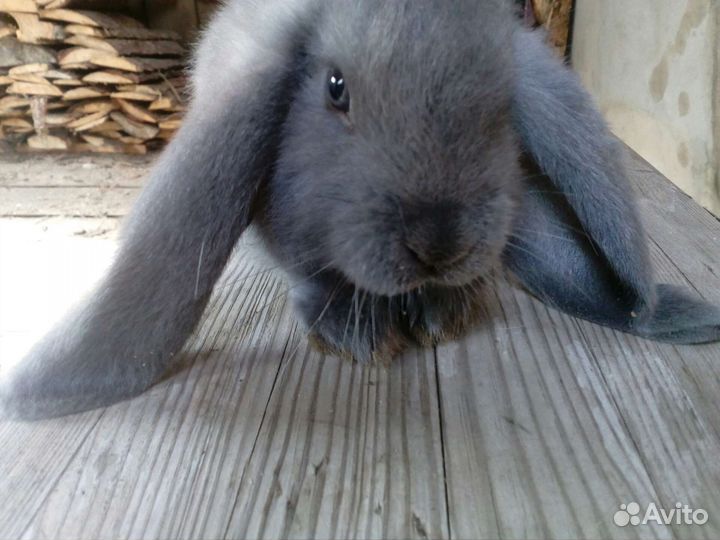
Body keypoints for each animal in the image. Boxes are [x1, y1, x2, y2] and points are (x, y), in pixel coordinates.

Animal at [2, 0, 719, 420]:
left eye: (501, 99)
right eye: (336, 87)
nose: (440, 243)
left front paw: (442, 311)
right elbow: (314, 277)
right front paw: (358, 332)